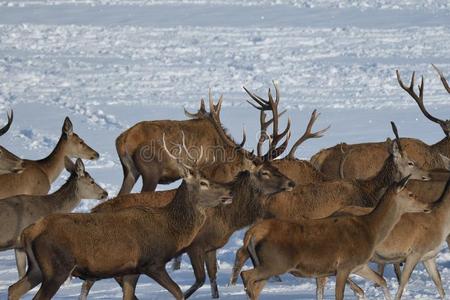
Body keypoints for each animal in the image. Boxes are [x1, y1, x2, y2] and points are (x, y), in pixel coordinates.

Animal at [7, 135, 236, 300]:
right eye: (204, 182)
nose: (230, 191)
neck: (170, 229)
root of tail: (28, 233)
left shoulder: (130, 271)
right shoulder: (152, 262)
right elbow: (179, 292)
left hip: (38, 268)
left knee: (13, 289)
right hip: (56, 267)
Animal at [232, 176, 432, 300]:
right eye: (411, 194)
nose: (428, 206)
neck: (371, 230)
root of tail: (251, 233)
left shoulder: (359, 265)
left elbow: (381, 280)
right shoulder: (344, 265)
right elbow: (340, 295)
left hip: (266, 263)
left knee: (253, 283)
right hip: (277, 262)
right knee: (246, 275)